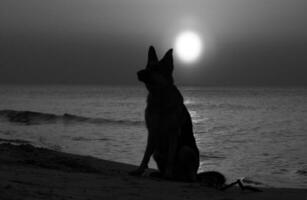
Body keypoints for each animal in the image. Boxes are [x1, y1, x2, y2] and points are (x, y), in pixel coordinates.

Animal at [131, 45, 201, 181]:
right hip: (157, 152)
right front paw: (140, 170)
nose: (138, 72)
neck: (160, 99)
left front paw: (168, 174)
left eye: (155, 69)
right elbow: (145, 155)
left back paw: (178, 177)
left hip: (186, 150)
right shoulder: (152, 132)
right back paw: (159, 174)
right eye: (147, 67)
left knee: (189, 174)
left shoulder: (173, 133)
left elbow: (170, 157)